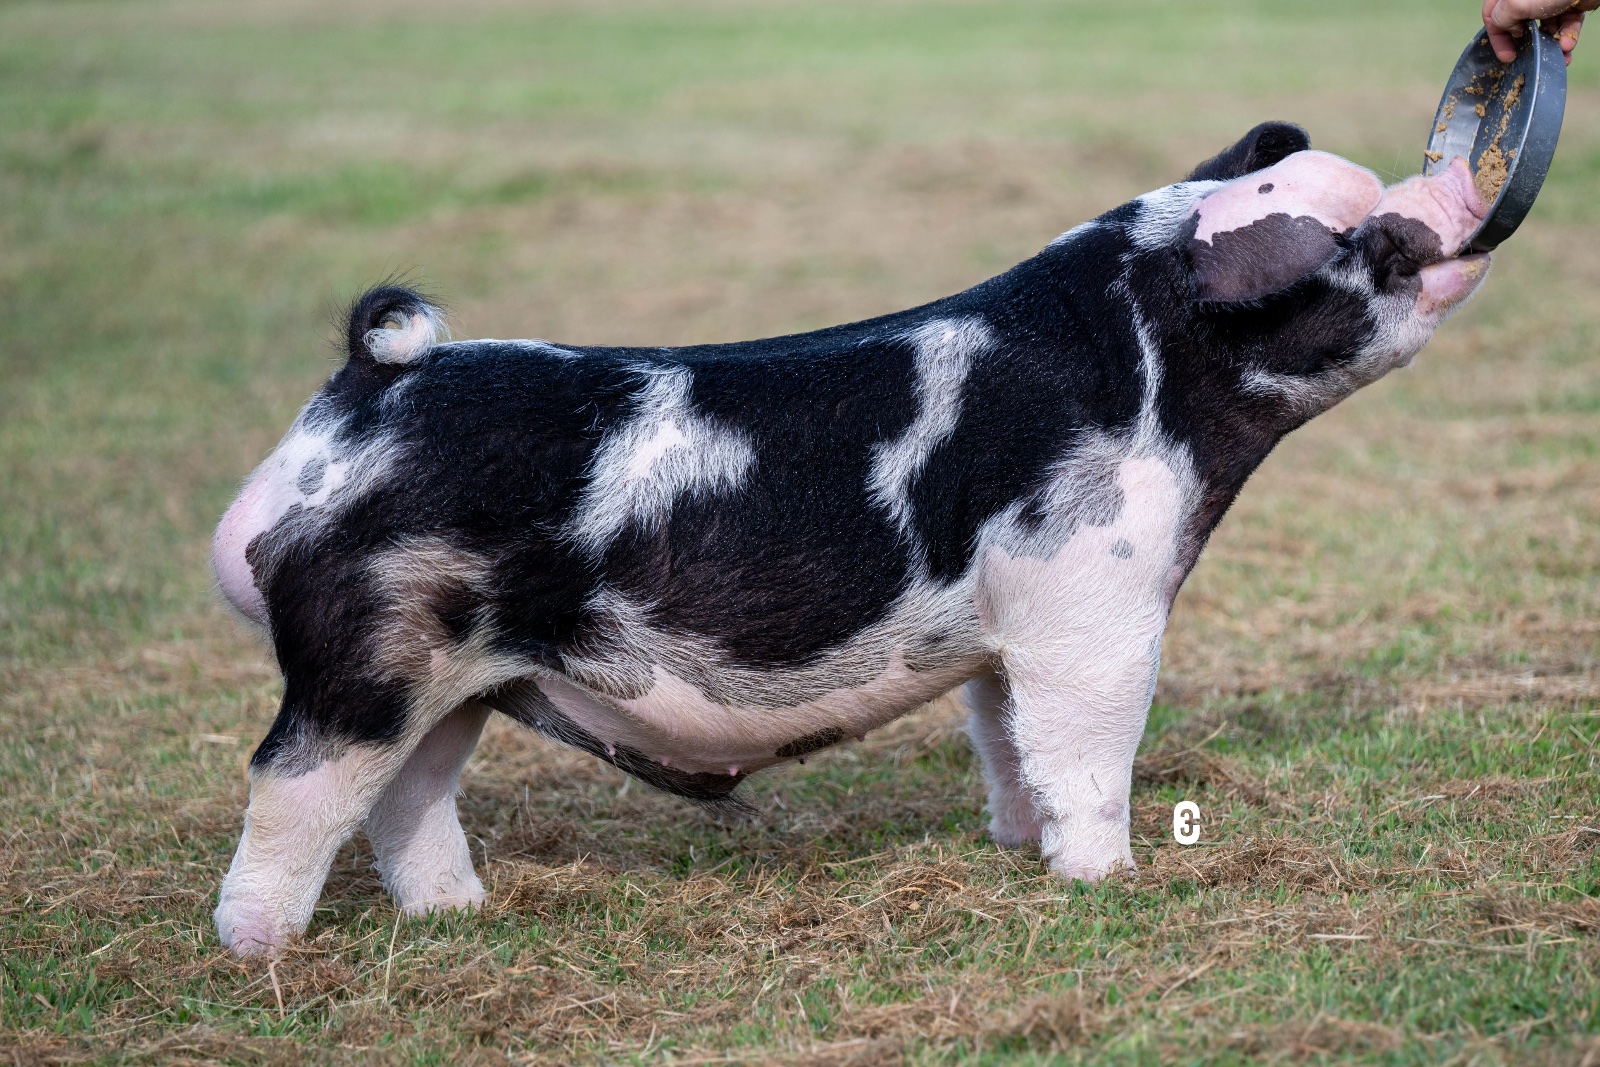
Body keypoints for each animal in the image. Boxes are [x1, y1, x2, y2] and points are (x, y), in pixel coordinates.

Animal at [210, 123, 1489, 955]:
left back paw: (459, 914)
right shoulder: (1091, 594)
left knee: (405, 796)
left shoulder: (1002, 631)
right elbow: (1087, 741)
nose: (1448, 206)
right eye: (1358, 240)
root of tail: (362, 395)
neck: (1160, 369)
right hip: (368, 653)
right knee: (291, 780)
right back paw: (261, 950)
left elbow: (1004, 735)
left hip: (457, 674)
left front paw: (1017, 850)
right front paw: (1105, 881)